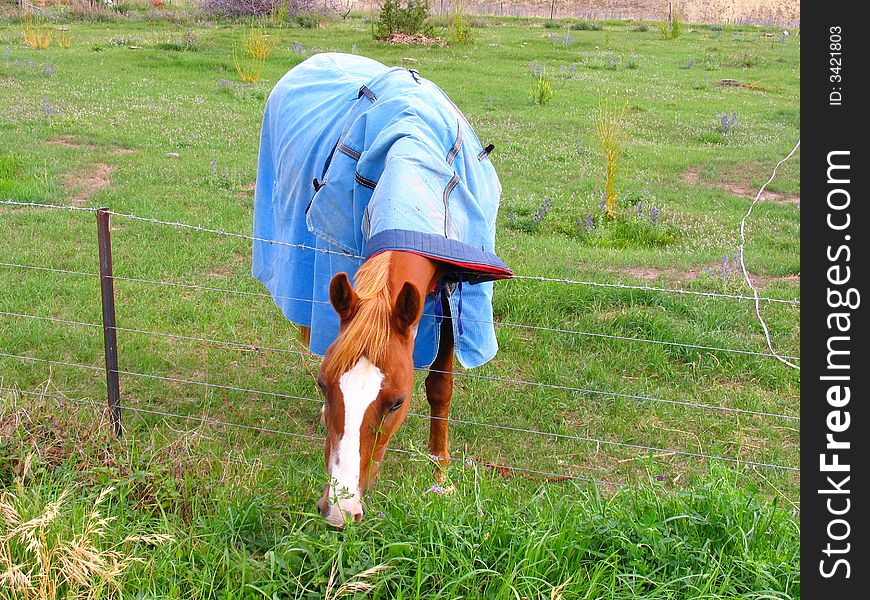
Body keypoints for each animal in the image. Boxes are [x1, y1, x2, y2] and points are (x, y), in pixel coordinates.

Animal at [254, 54, 510, 528]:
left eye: (396, 403)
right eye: (324, 386)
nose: (340, 510)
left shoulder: (447, 298)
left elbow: (440, 388)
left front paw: (441, 479)